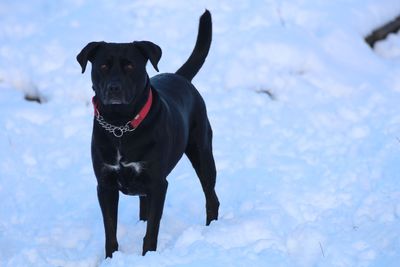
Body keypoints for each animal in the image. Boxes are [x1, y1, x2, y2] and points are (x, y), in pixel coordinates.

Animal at [75, 11, 219, 260]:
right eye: (103, 66)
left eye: (130, 66)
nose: (114, 88)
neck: (120, 125)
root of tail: (181, 77)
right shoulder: (105, 183)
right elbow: (110, 231)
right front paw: (111, 258)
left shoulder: (158, 182)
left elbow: (152, 229)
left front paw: (148, 255)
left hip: (202, 153)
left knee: (211, 196)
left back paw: (212, 229)